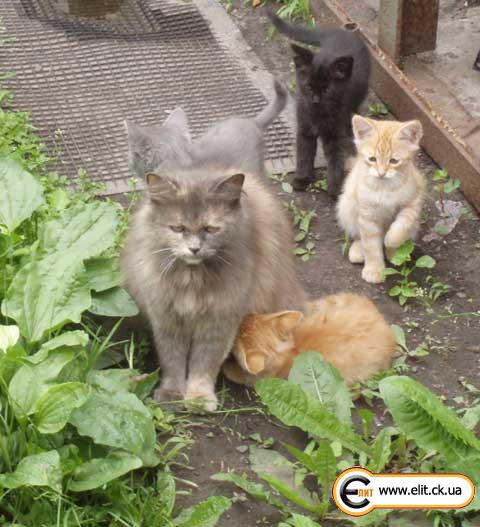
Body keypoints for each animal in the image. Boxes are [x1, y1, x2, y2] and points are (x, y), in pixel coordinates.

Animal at [122, 82, 306, 412]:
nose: (194, 249)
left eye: (211, 229)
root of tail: (251, 121)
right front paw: (172, 394)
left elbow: (204, 361)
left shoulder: (221, 318)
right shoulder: (166, 316)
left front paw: (198, 398)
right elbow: (172, 359)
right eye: (178, 228)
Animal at [223, 293, 396, 386]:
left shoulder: (260, 379)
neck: (291, 352)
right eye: (250, 316)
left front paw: (227, 368)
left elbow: (237, 374)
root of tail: (383, 323)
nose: (241, 318)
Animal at [268, 9, 370, 196]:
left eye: (327, 89)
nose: (315, 101)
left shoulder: (336, 134)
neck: (318, 116)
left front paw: (335, 188)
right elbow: (304, 153)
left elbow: (336, 158)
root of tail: (342, 32)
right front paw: (303, 179)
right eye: (308, 87)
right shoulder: (304, 127)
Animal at [337, 115, 425, 284]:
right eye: (372, 159)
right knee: (357, 234)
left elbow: (402, 225)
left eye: (394, 161)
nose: (381, 173)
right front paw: (374, 270)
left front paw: (391, 242)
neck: (385, 188)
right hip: (346, 206)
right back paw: (358, 250)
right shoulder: (367, 216)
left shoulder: (414, 201)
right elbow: (371, 245)